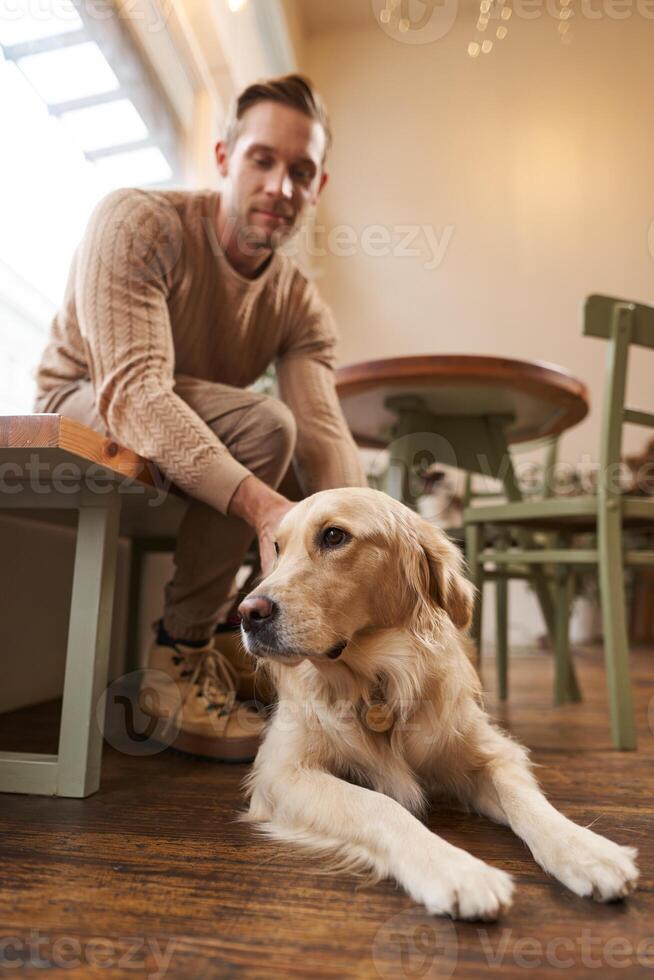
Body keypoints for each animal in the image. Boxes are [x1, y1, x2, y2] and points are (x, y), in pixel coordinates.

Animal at [237, 486, 640, 924]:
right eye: (277, 548)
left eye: (333, 536)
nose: (248, 613)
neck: (379, 684)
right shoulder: (282, 771)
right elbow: (379, 805)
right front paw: (458, 870)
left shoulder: (493, 752)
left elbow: (528, 801)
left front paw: (586, 849)